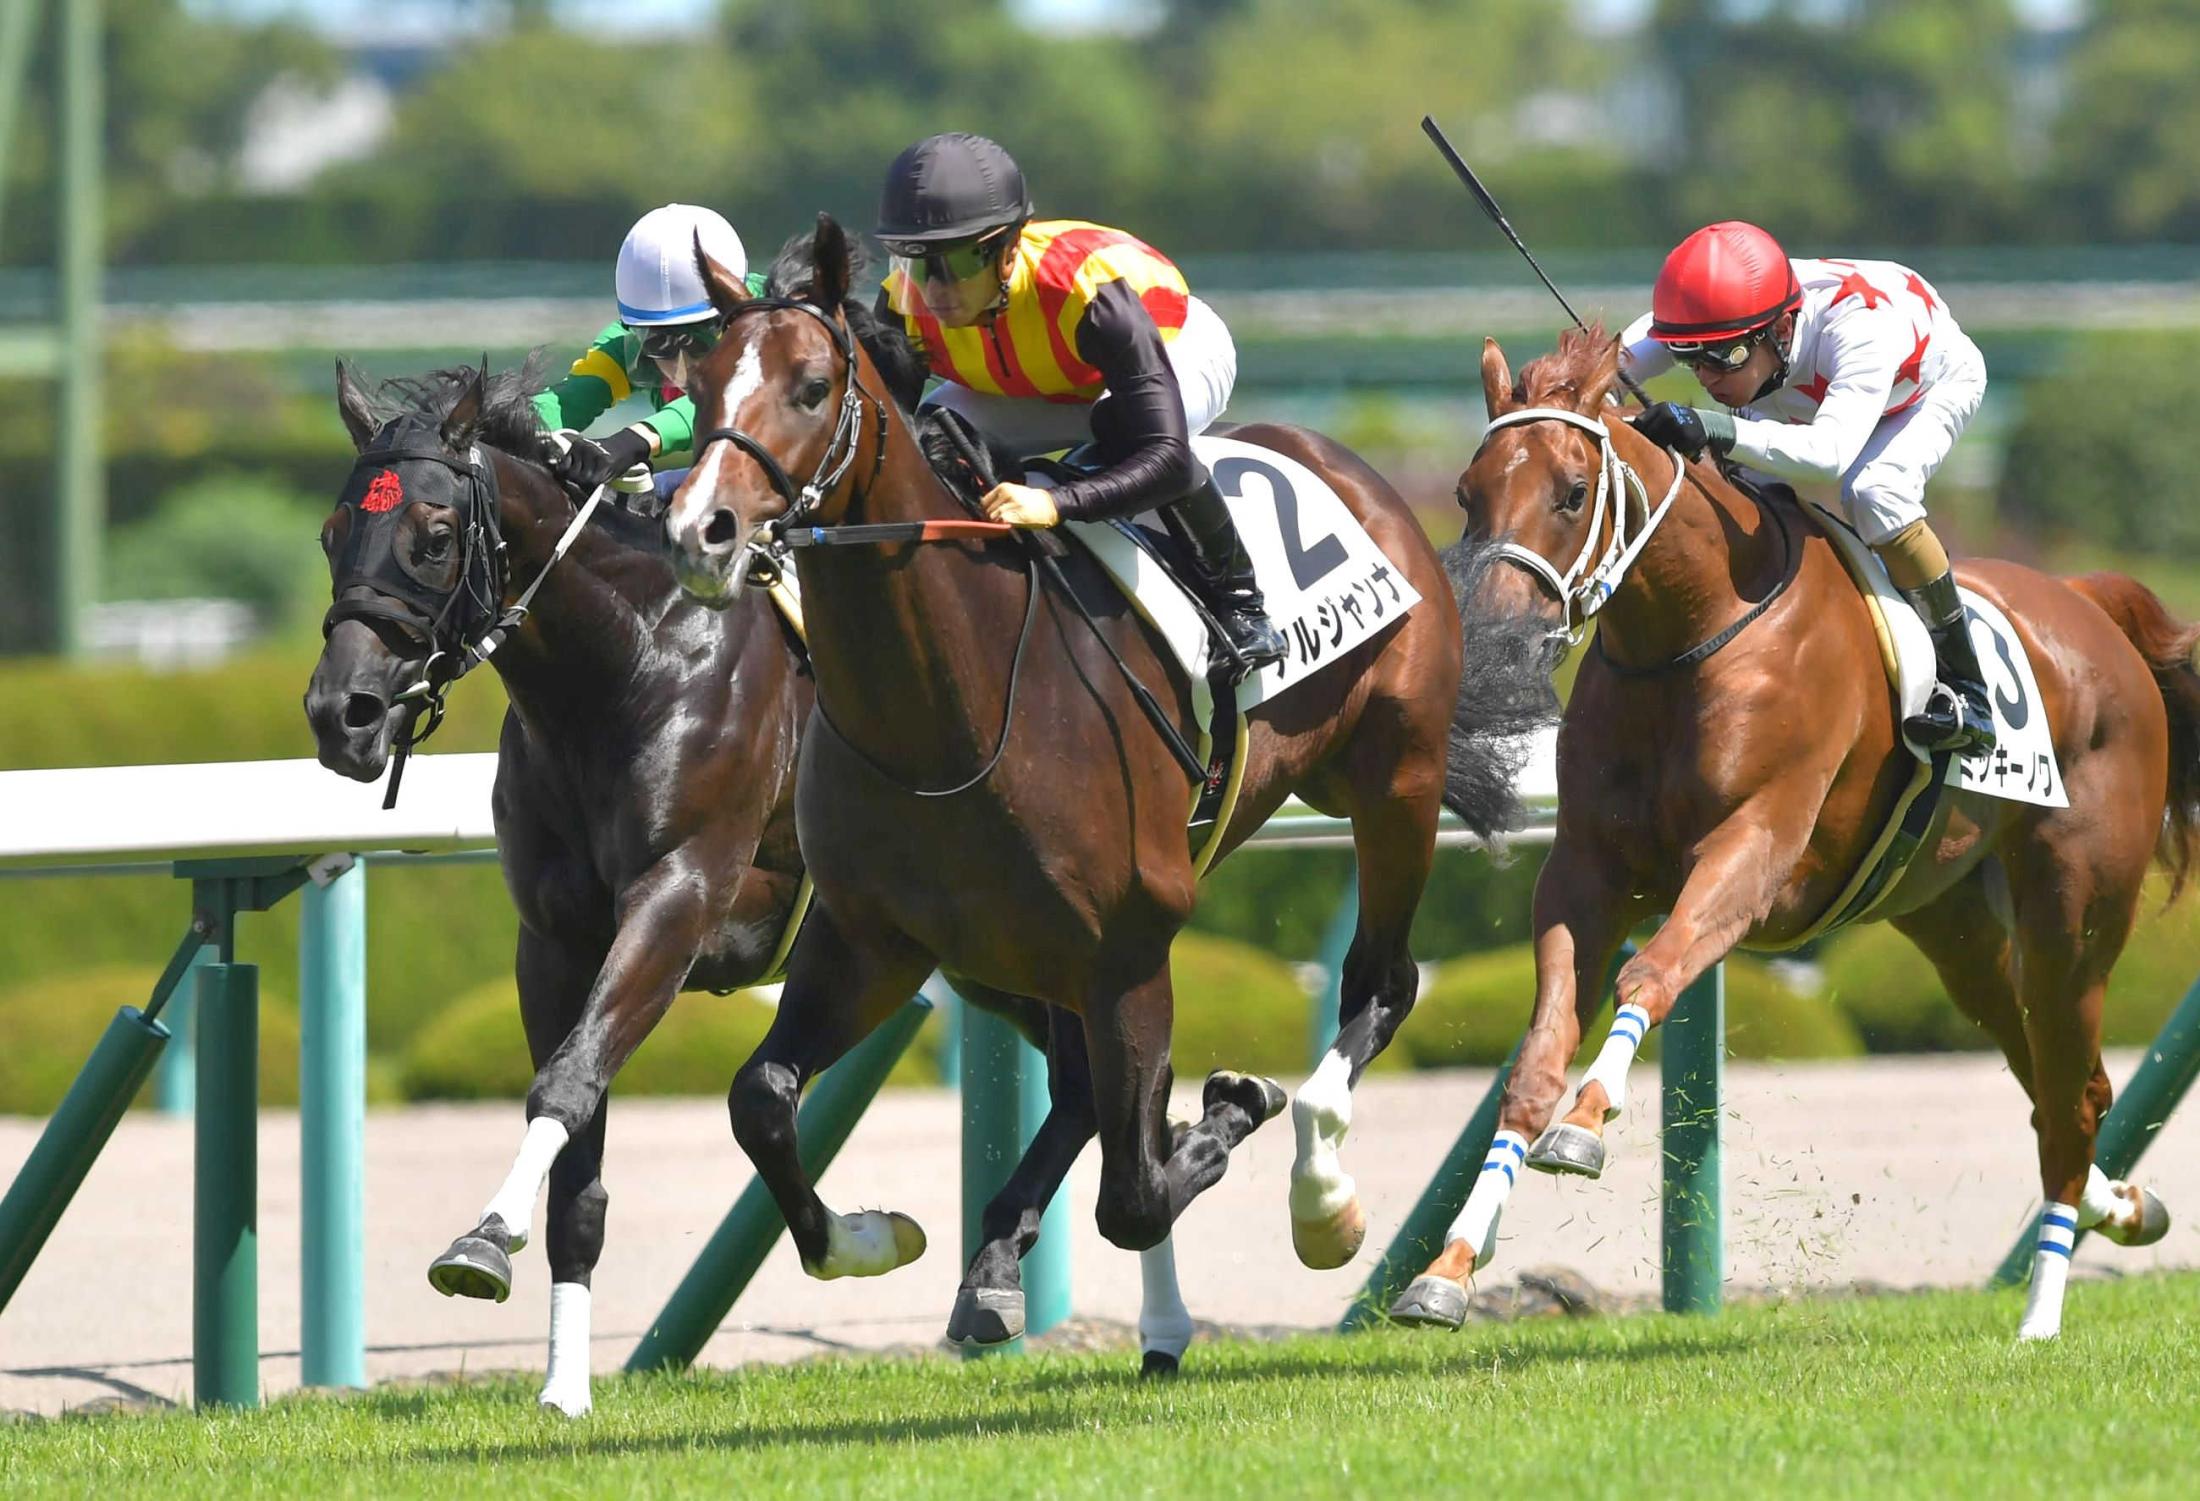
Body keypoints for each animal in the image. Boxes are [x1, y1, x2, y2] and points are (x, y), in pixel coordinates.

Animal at [658, 214, 1553, 1345]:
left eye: (812, 384)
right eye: (700, 383)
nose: (701, 531)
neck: (948, 714)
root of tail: (1356, 470)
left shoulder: (1130, 946)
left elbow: (1136, 1192)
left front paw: (1229, 1112)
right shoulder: (871, 939)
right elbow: (762, 1098)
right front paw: (867, 1237)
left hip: (1395, 779)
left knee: (1381, 983)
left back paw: (1319, 1198)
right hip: (1002, 952)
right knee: (1079, 1086)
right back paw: (995, 1260)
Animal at [1384, 325, 2200, 1341]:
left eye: (1572, 491)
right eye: (1468, 492)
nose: (1494, 634)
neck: (1690, 631)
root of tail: (2093, 606)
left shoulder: (1755, 847)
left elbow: (1653, 974)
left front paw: (1584, 1124)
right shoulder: (1586, 871)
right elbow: (1537, 1052)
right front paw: (1448, 1267)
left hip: (2073, 917)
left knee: (2065, 1086)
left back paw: (2041, 1313)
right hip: (1952, 925)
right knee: (2062, 1082)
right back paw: (2117, 1203)